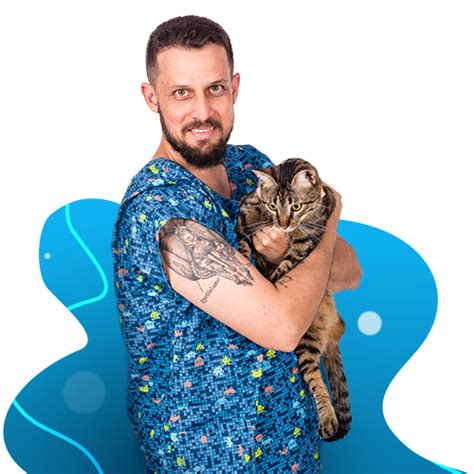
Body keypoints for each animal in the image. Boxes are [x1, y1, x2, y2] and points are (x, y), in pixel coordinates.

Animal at [236, 157, 352, 442]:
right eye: (273, 205)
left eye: (296, 206)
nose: (283, 224)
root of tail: (334, 329)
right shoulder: (245, 211)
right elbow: (244, 229)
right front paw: (244, 255)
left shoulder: (306, 239)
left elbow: (284, 267)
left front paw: (271, 278)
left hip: (305, 341)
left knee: (315, 380)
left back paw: (328, 418)